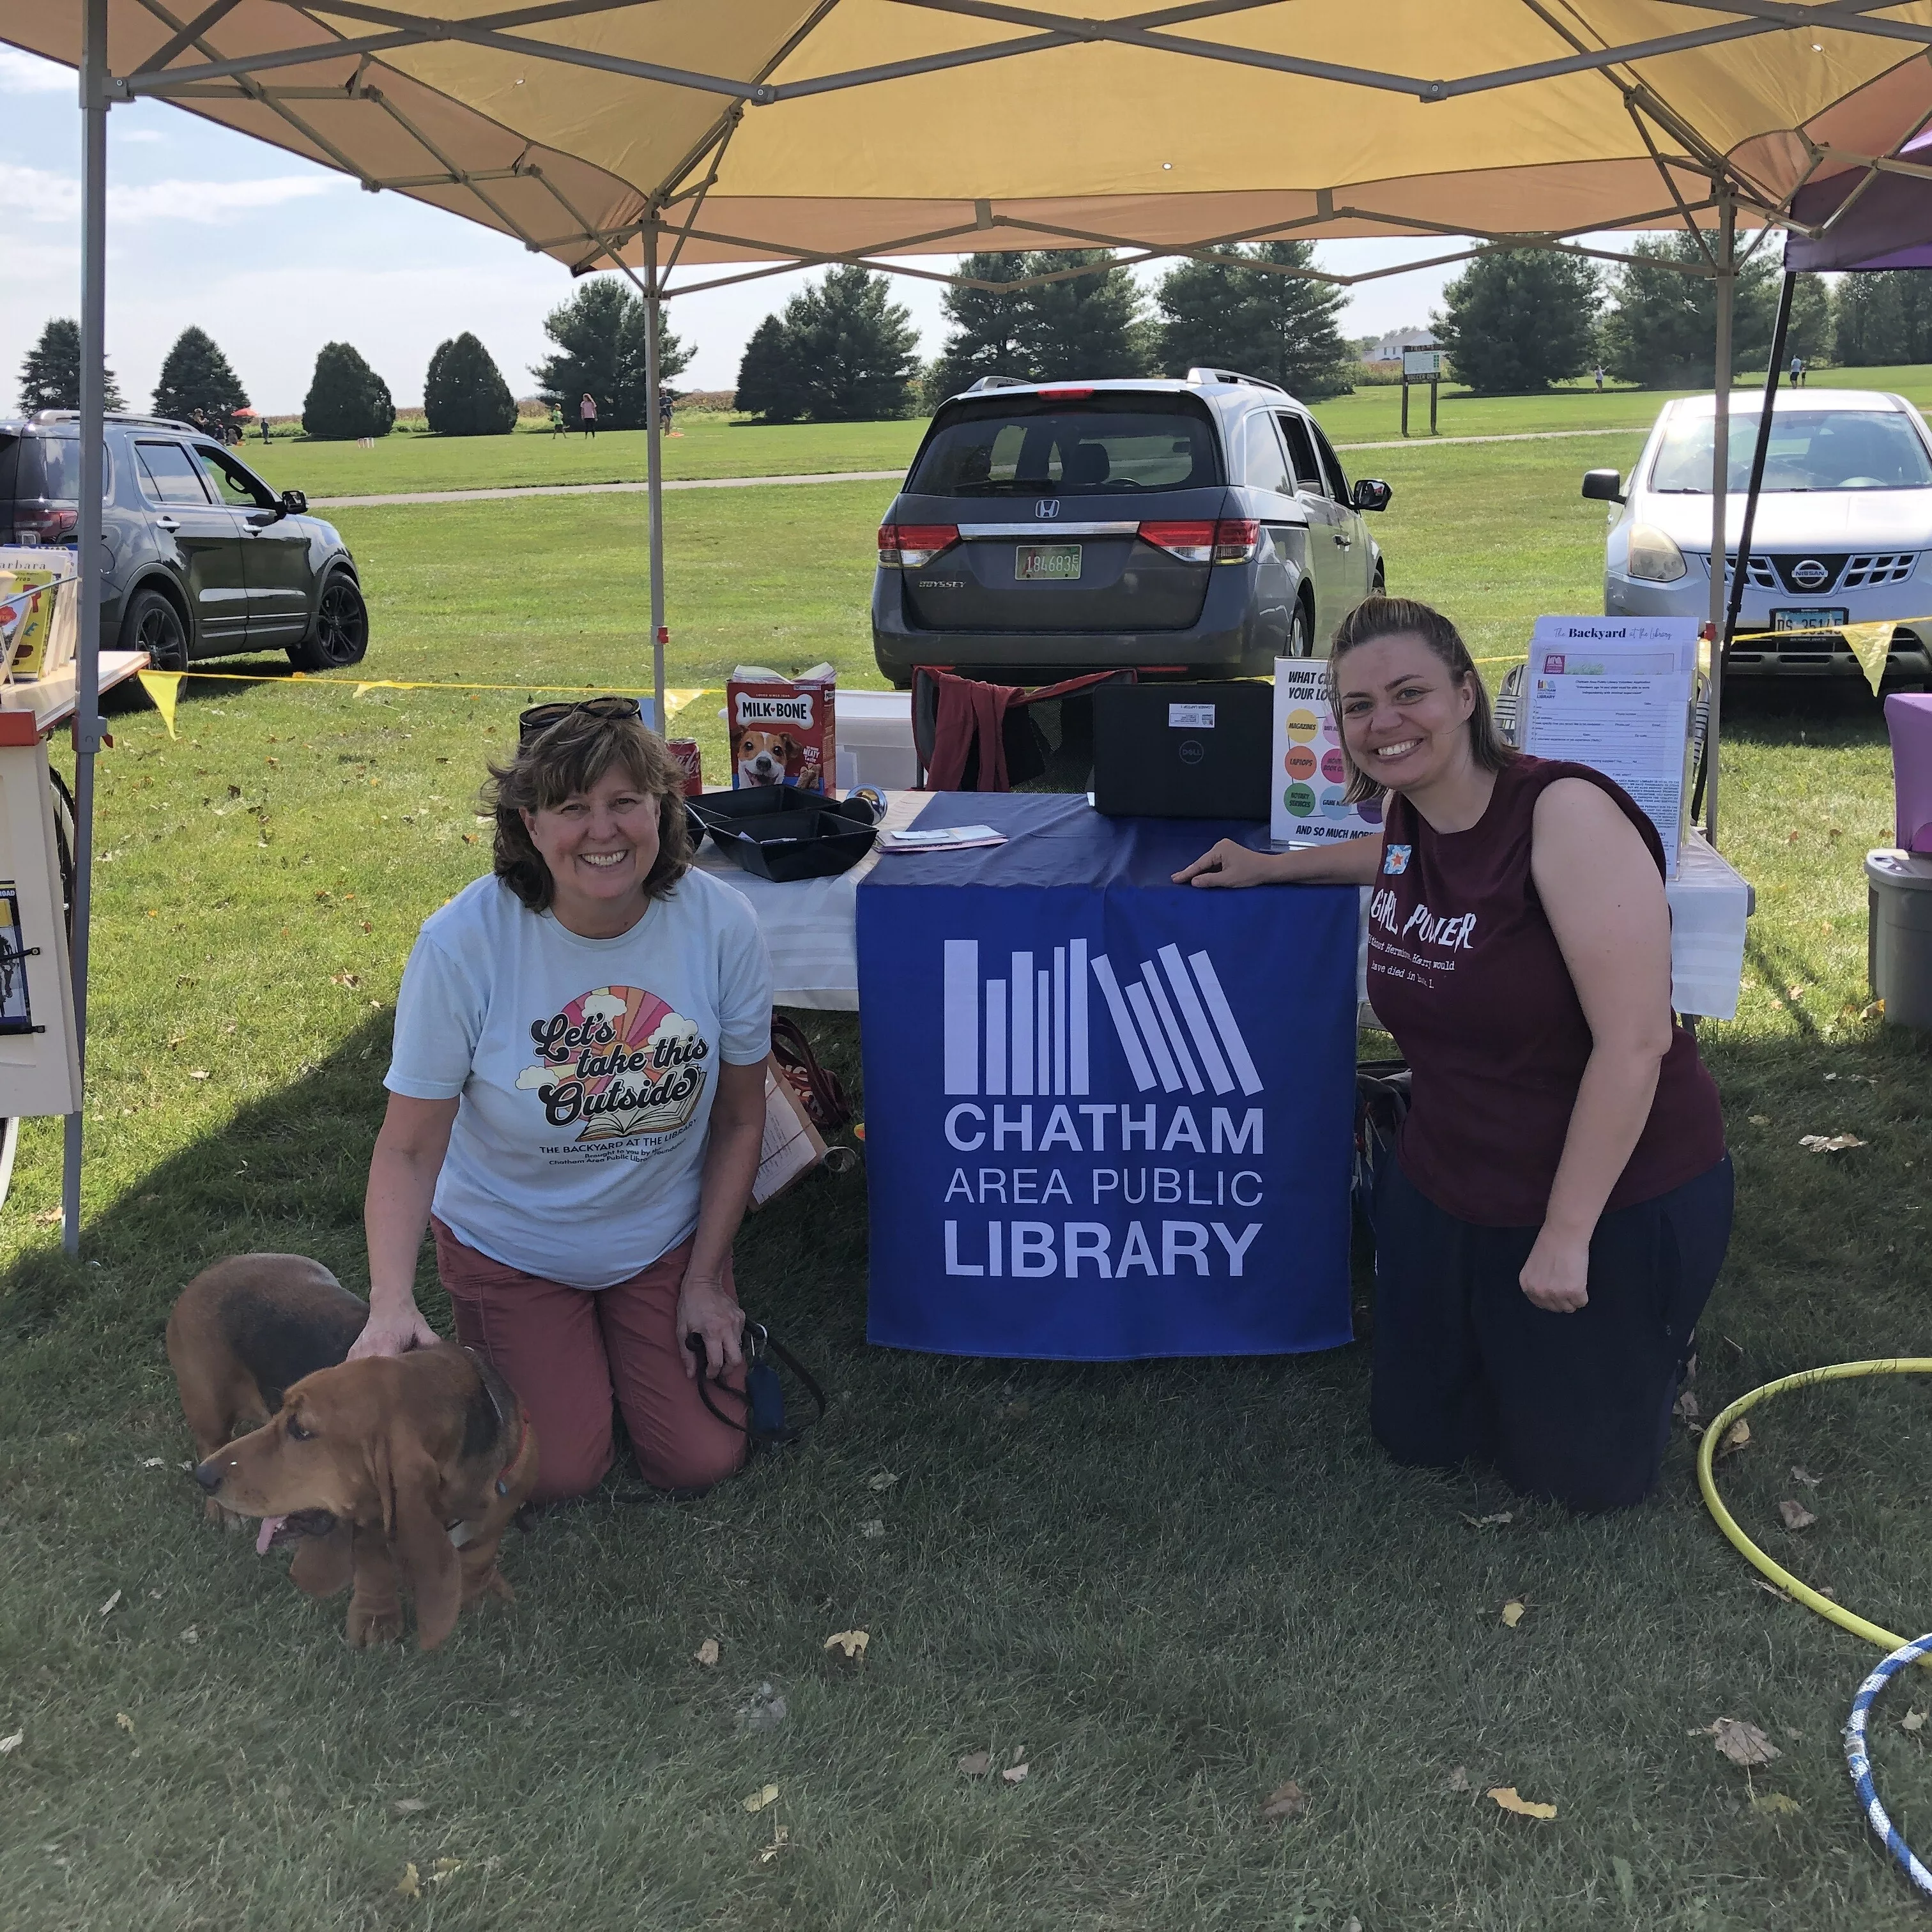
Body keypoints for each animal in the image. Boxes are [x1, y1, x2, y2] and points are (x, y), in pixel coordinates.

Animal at [167, 1259, 540, 1653]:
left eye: (301, 1429)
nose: (204, 1477)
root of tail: (215, 1269)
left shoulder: (503, 1505)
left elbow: (481, 1554)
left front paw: (482, 1592)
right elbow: (375, 1569)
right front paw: (377, 1619)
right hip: (208, 1407)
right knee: (209, 1441)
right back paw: (223, 1511)